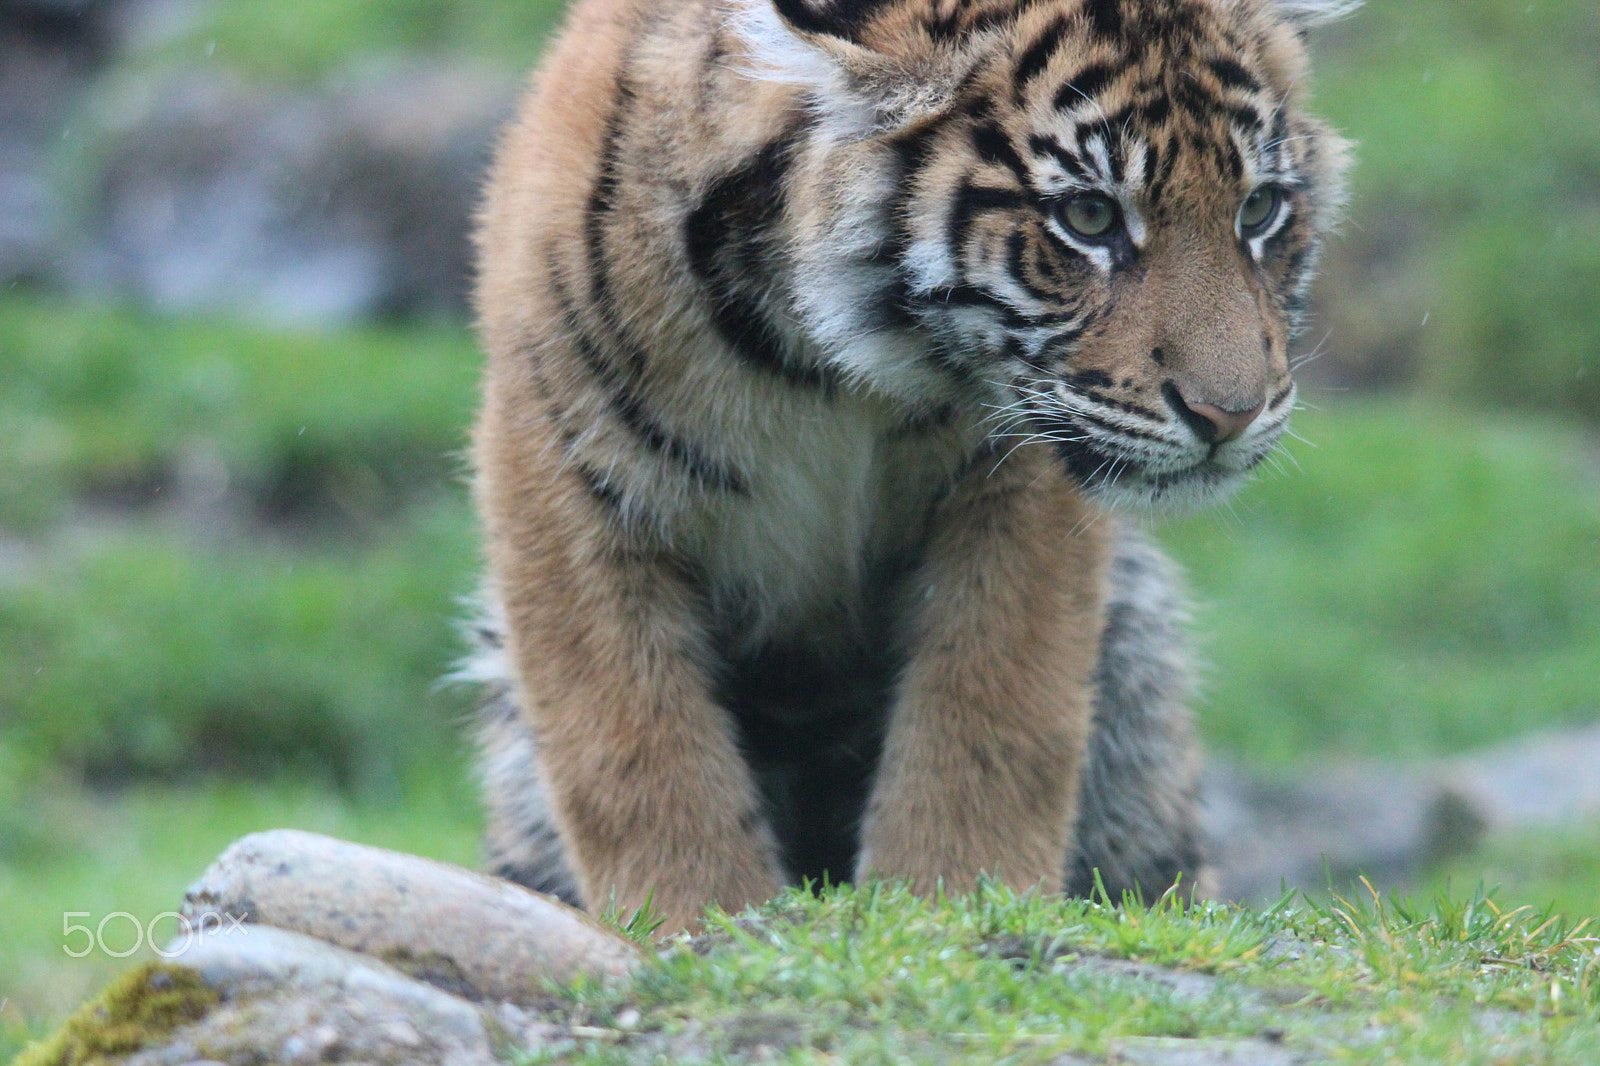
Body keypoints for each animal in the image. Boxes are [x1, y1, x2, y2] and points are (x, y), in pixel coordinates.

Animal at [467, 0, 1353, 933]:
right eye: (1089, 217)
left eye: (1259, 209)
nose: (1232, 415)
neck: (826, 363)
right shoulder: (563, 471)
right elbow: (633, 752)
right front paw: (696, 921)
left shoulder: (1017, 490)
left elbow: (993, 725)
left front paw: (954, 904)